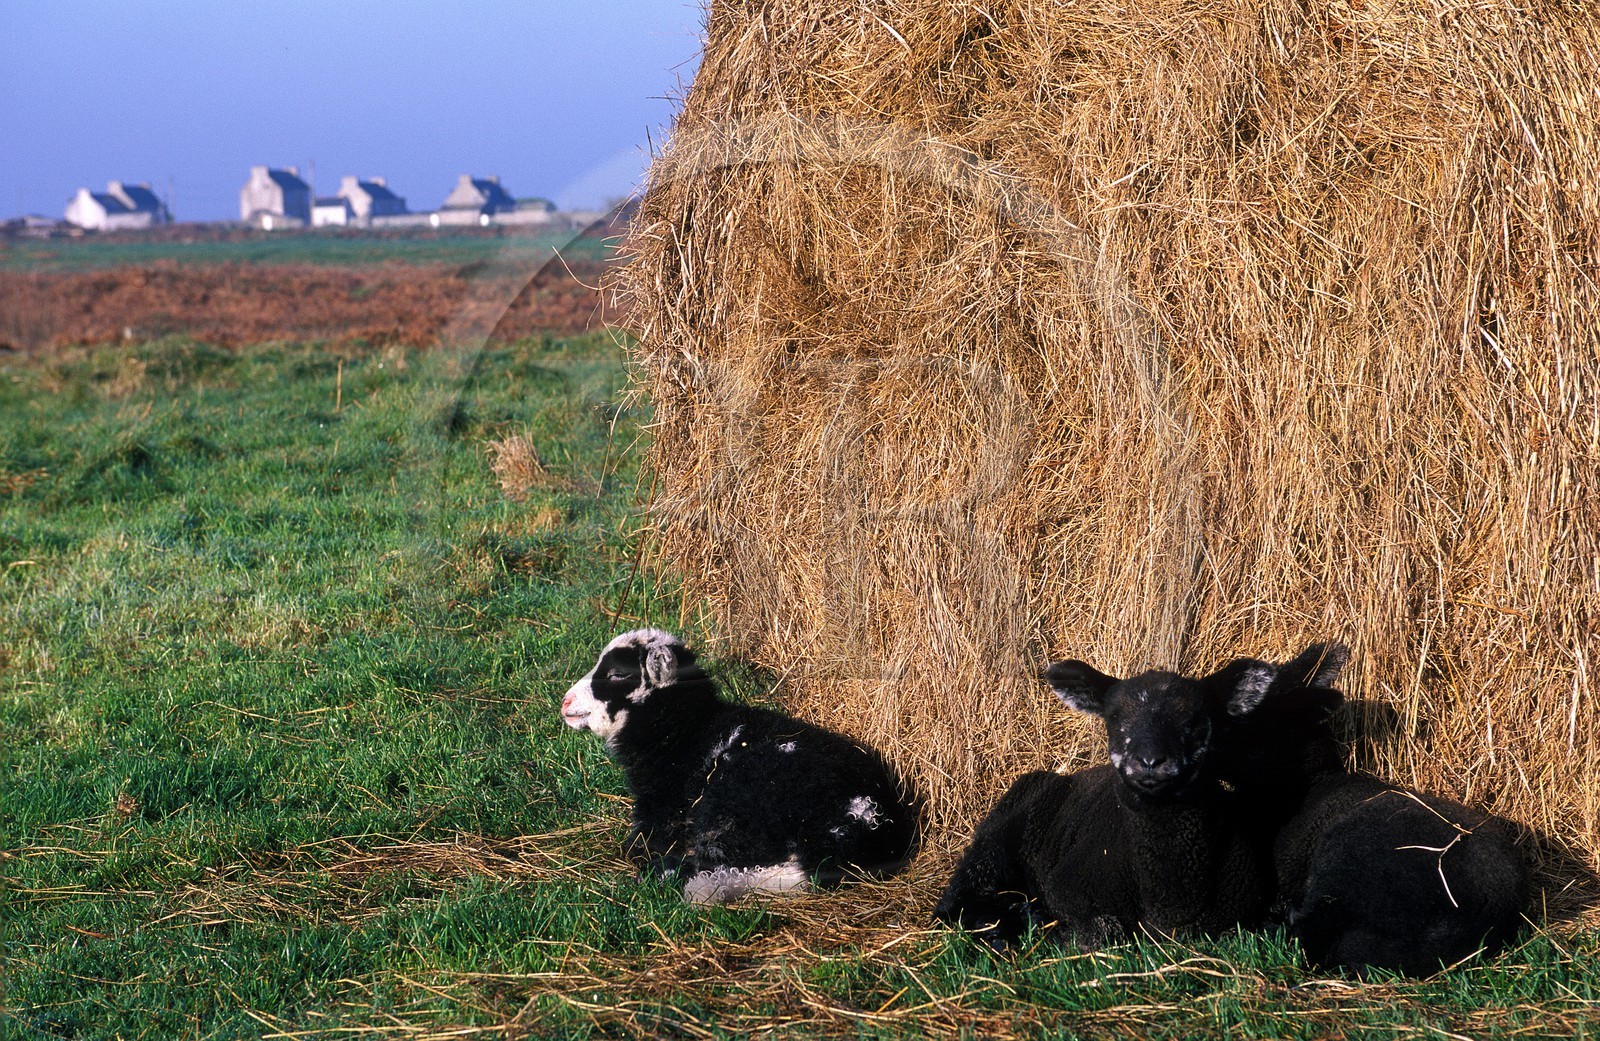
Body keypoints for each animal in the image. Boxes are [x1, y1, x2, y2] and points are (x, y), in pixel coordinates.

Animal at [560, 629, 919, 904]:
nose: (565, 702)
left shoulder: (663, 804)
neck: (688, 729)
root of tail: (870, 821)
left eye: (618, 674)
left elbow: (643, 844)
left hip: (735, 804)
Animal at [934, 650, 1297, 948]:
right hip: (995, 841)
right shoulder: (1066, 889)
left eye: (1195, 720)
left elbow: (1260, 926)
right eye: (1114, 717)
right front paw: (1051, 929)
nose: (1150, 761)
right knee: (953, 901)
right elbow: (1103, 930)